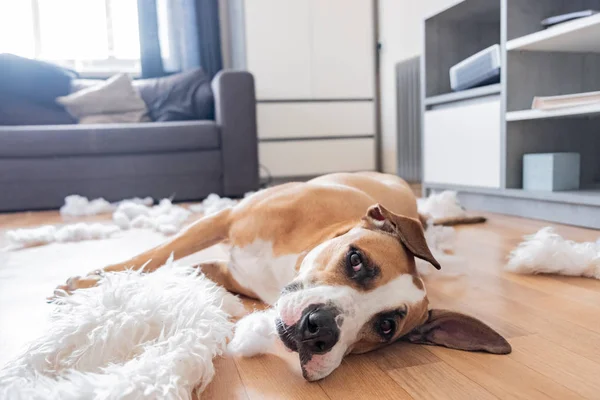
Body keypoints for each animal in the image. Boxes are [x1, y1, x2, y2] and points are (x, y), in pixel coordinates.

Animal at [55, 171, 510, 382]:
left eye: (385, 327)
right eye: (356, 260)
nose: (319, 329)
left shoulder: (224, 270)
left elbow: (173, 268)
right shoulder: (223, 219)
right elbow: (153, 256)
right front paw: (89, 283)